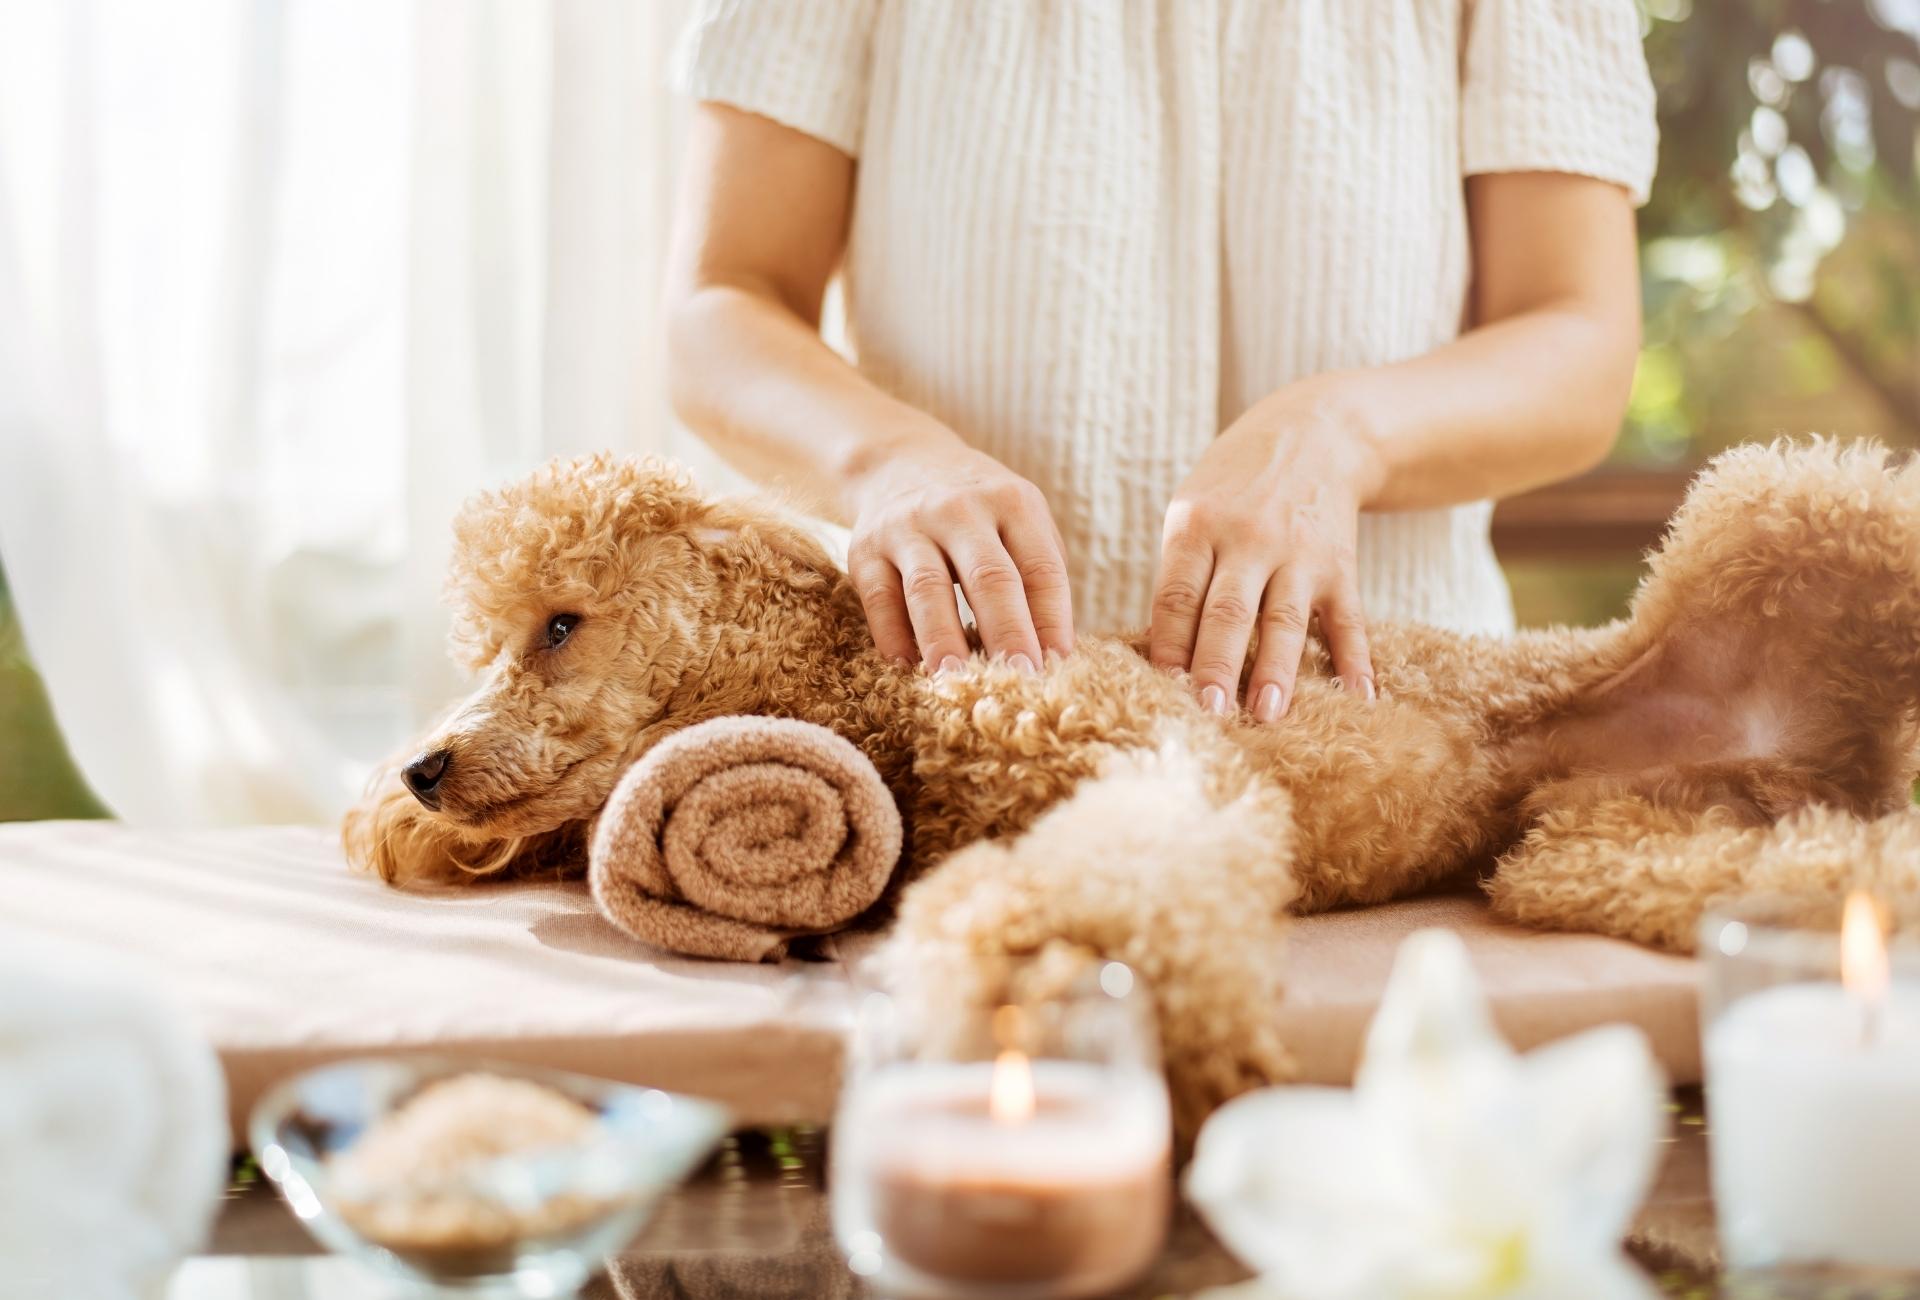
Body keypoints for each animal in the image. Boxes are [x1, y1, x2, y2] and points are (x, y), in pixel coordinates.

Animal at [345, 441, 1920, 1129]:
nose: (423, 765)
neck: (888, 696)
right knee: (1826, 851)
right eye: (492, 640)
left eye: (559, 623)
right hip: (1599, 847)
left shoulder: (1167, 767)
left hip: (1789, 496)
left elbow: (1118, 885)